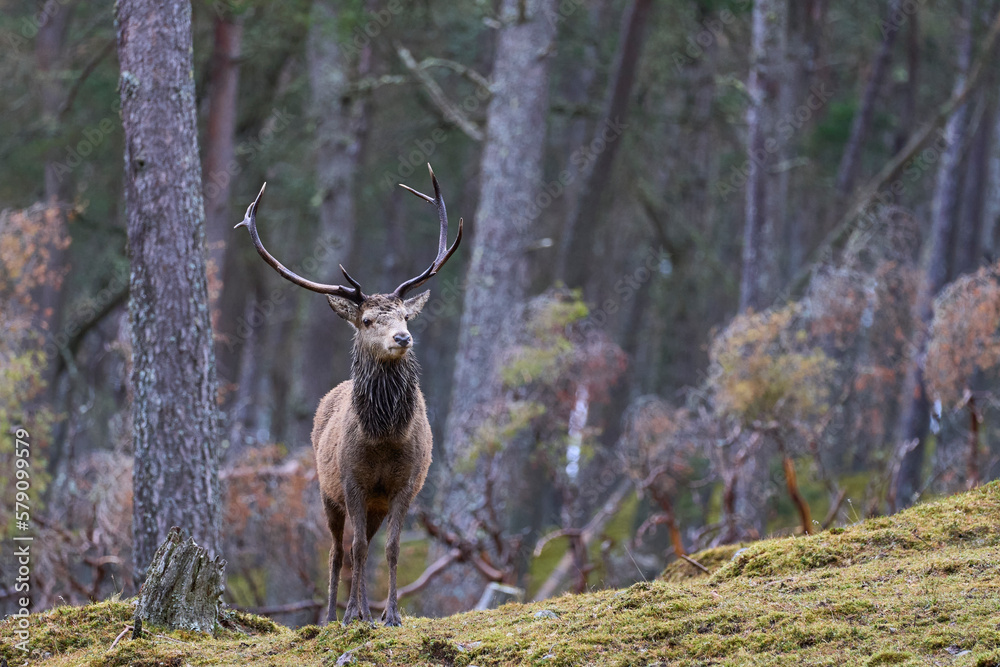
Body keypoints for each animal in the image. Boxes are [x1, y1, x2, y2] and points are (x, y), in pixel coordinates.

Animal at [234, 164, 462, 626]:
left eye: (406, 315)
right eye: (369, 319)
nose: (402, 337)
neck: (385, 437)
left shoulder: (405, 486)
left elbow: (390, 549)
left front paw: (390, 615)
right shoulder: (351, 480)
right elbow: (354, 550)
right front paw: (354, 614)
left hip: (373, 504)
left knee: (366, 547)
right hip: (327, 492)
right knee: (338, 552)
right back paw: (330, 615)